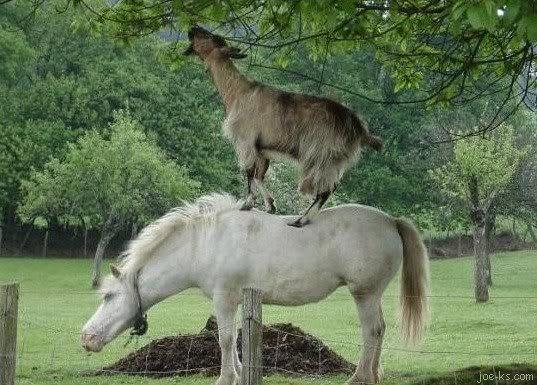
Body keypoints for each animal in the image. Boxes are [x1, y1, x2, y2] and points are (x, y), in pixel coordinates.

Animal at [81, 194, 430, 382]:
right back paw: (374, 375)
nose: (86, 337)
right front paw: (238, 374)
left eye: (109, 296)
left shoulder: (224, 298)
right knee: (380, 330)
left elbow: (224, 338)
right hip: (372, 294)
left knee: (372, 331)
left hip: (364, 293)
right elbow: (234, 338)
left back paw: (359, 377)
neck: (205, 244)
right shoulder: (236, 300)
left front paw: (225, 378)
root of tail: (390, 220)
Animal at [184, 25, 382, 226]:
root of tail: (359, 130)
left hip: (322, 157)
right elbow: (259, 175)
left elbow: (249, 172)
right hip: (334, 161)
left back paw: (301, 220)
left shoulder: (246, 141)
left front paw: (247, 204)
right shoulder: (262, 149)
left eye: (210, 36)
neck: (239, 91)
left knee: (326, 189)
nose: (193, 27)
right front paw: (270, 205)